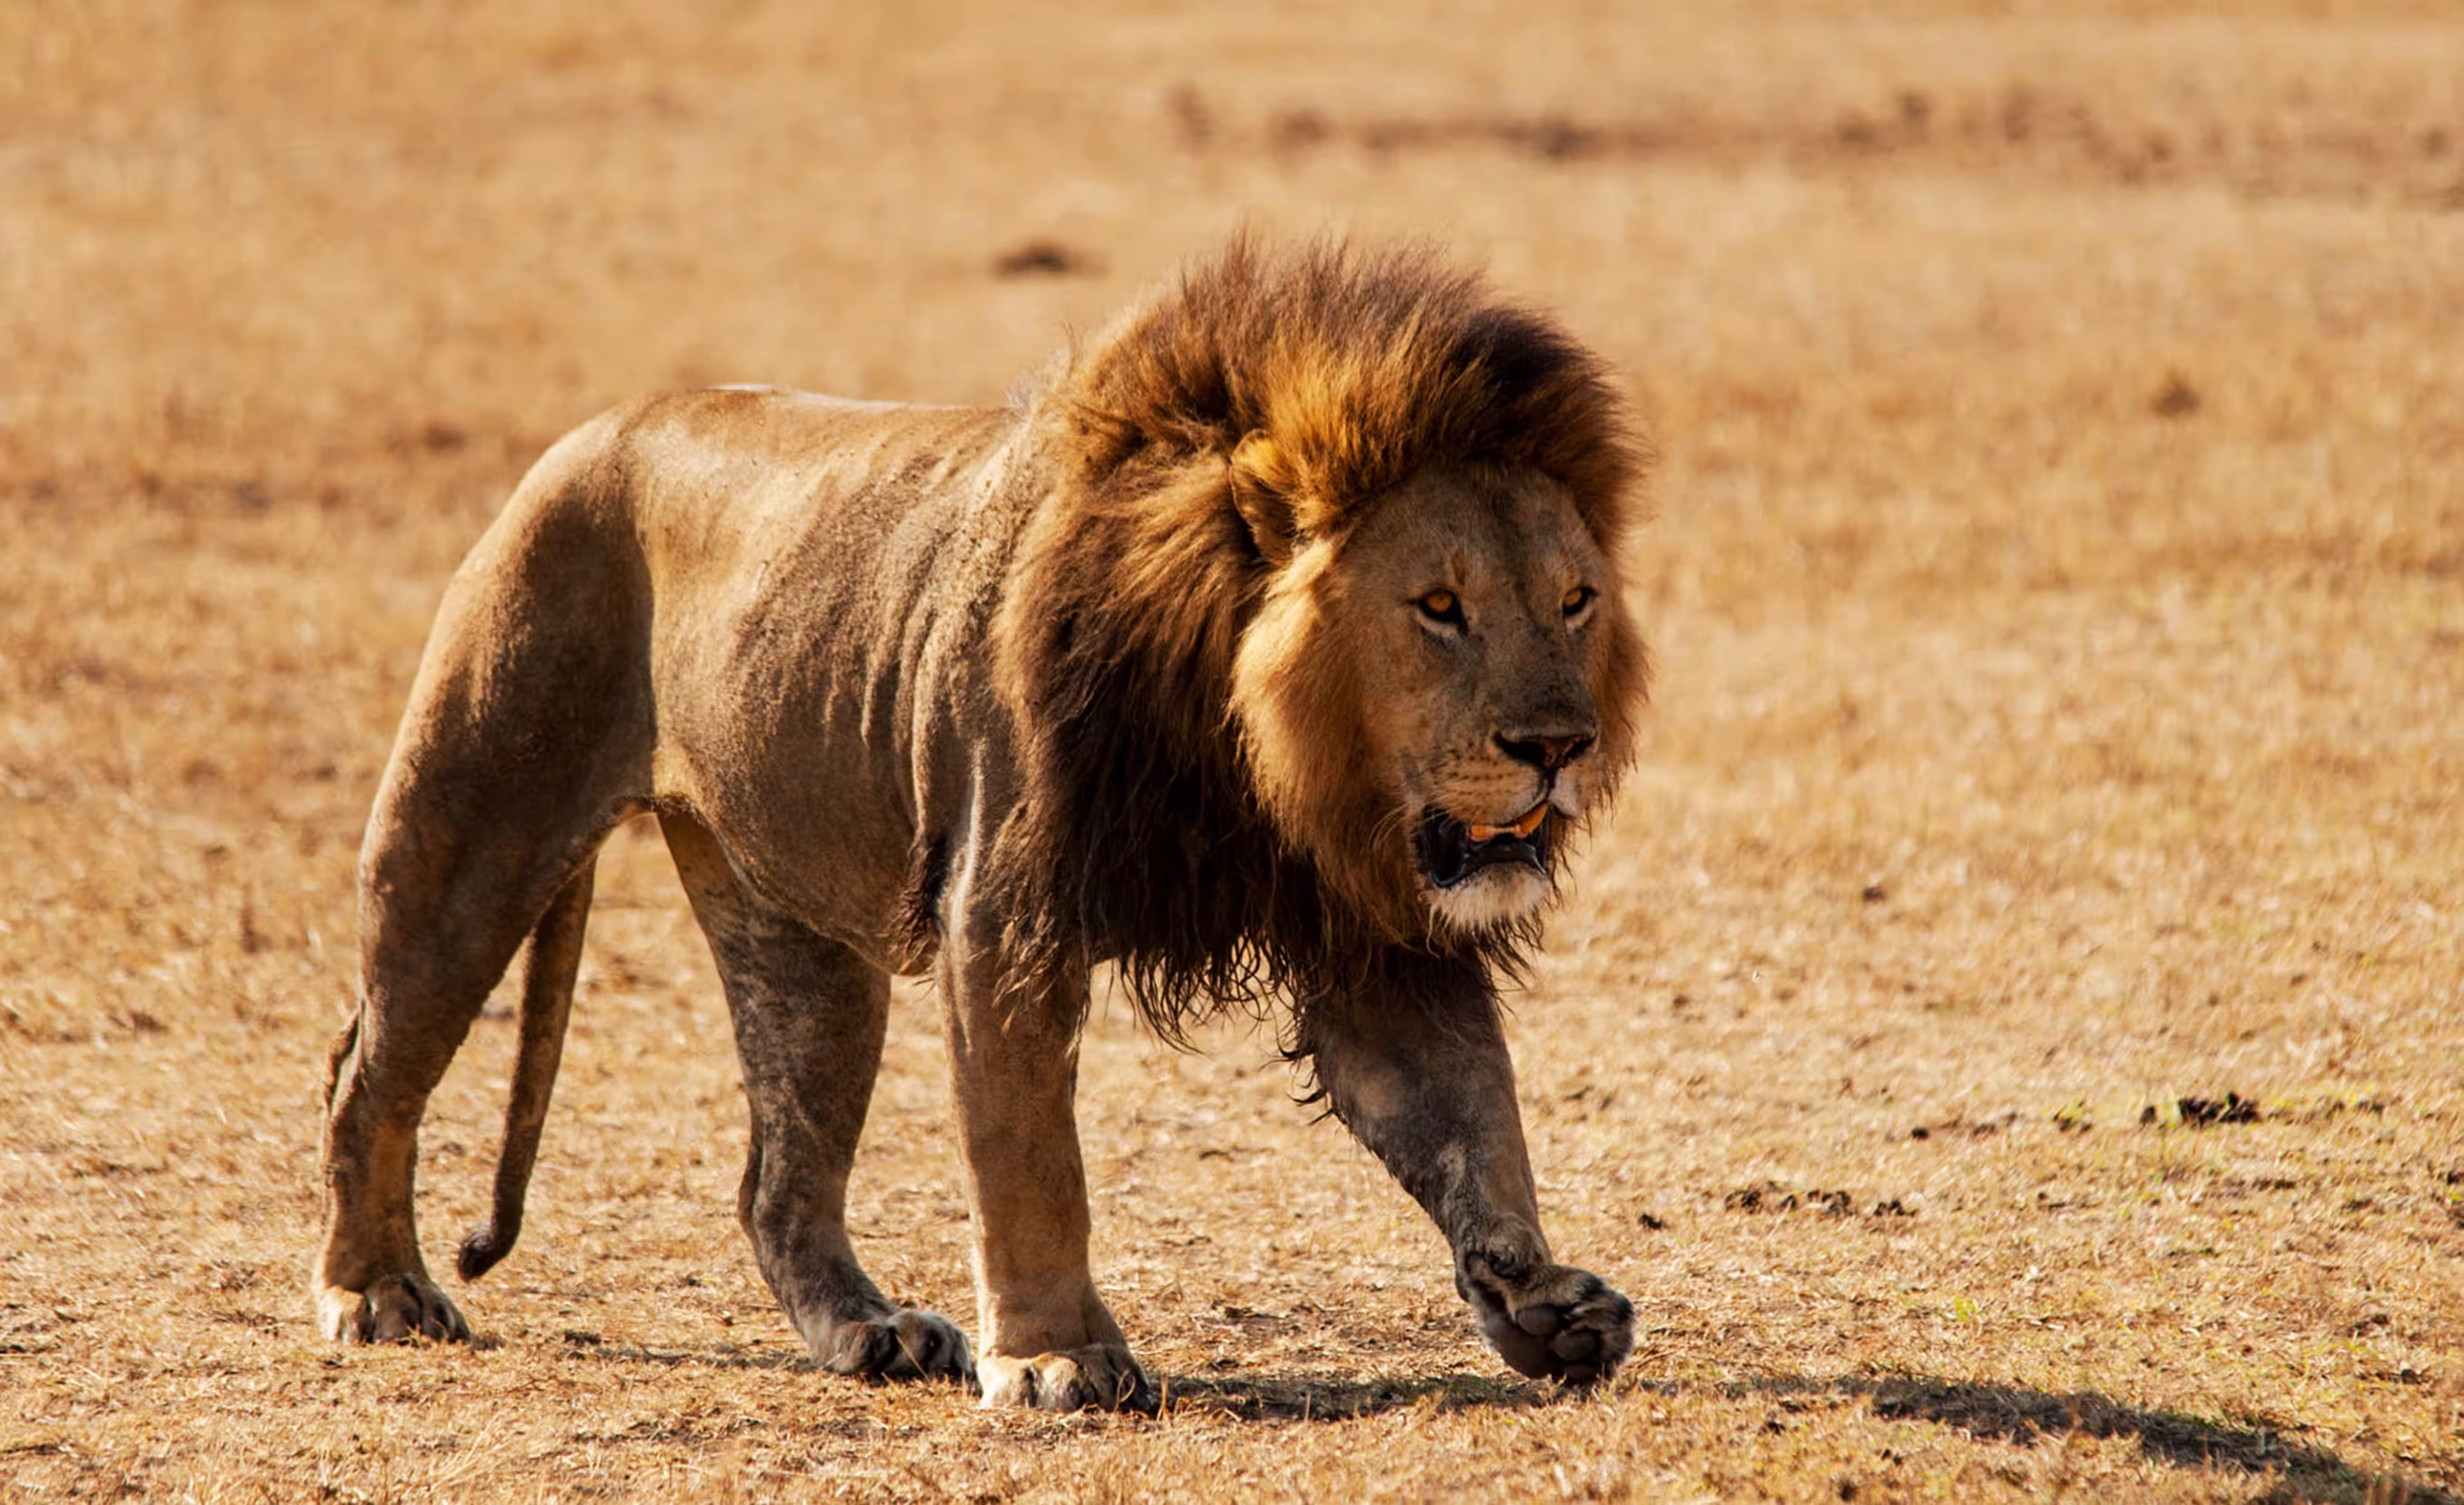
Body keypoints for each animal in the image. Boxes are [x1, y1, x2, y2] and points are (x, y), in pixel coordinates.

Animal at [315, 235, 1652, 1409]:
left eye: (1574, 601)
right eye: (1439, 607)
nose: (1557, 747)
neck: (1255, 754)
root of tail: (598, 427)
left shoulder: (1368, 933)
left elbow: (1470, 1117)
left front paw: (1535, 1296)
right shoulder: (1005, 914)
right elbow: (1030, 1156)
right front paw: (1057, 1356)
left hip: (801, 944)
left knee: (776, 1182)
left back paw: (869, 1331)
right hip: (472, 824)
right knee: (367, 1071)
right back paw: (376, 1290)